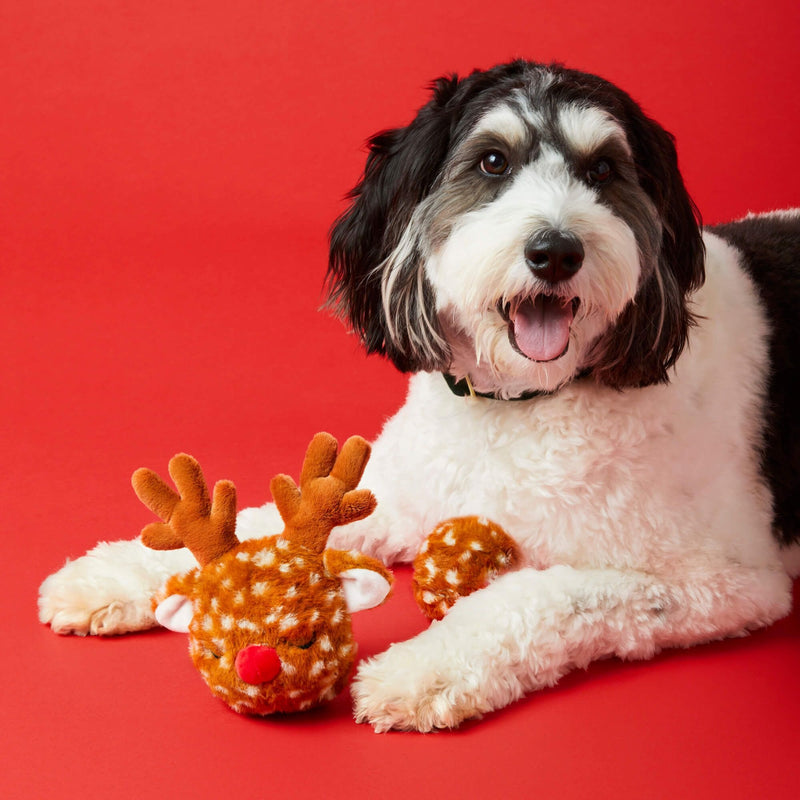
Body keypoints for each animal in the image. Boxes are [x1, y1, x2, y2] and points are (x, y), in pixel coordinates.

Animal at [42, 61, 800, 732]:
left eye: (603, 171)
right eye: (492, 162)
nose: (556, 251)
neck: (518, 408)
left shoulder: (719, 581)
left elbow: (543, 596)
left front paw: (423, 671)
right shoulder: (405, 492)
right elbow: (261, 530)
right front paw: (111, 576)